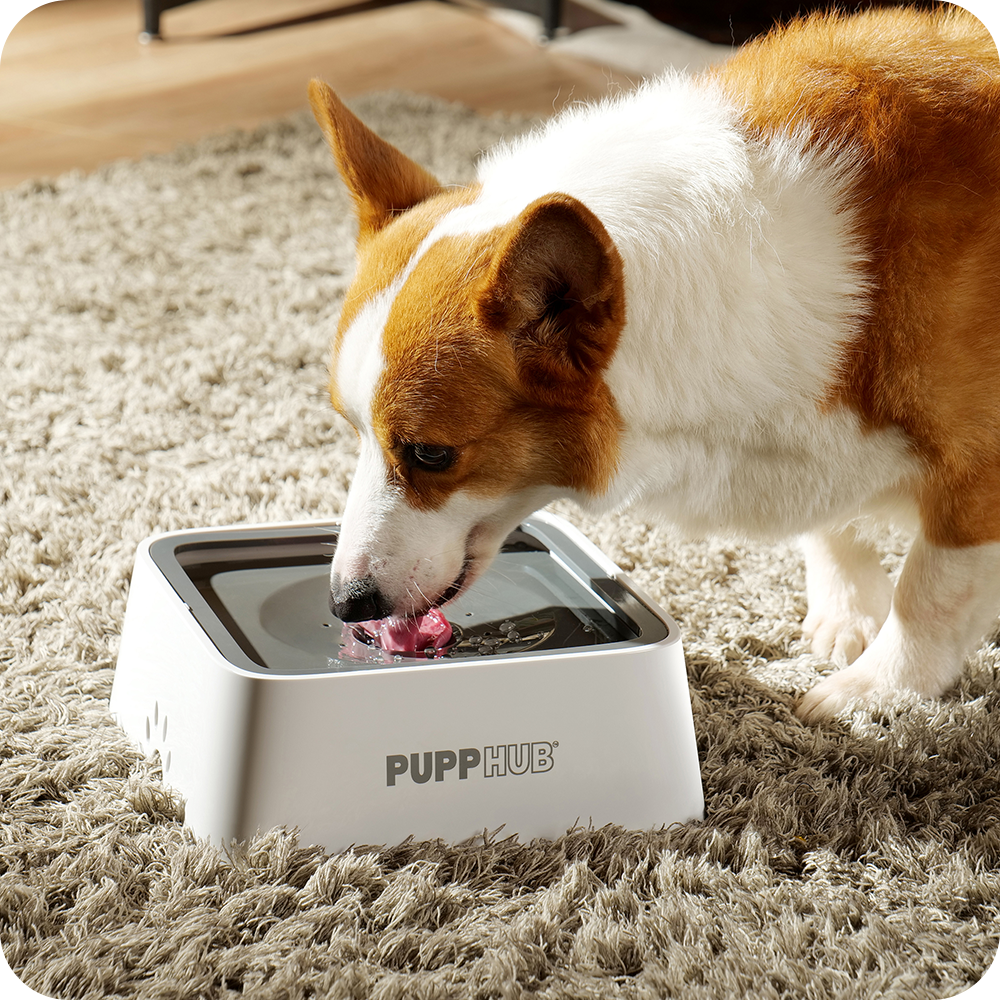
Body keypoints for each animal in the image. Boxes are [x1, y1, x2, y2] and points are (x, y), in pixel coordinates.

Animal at [306, 7, 1000, 728]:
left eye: (431, 455)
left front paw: (875, 694)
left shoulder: (976, 482)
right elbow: (833, 525)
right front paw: (849, 616)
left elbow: (930, 594)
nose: (345, 604)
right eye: (354, 431)